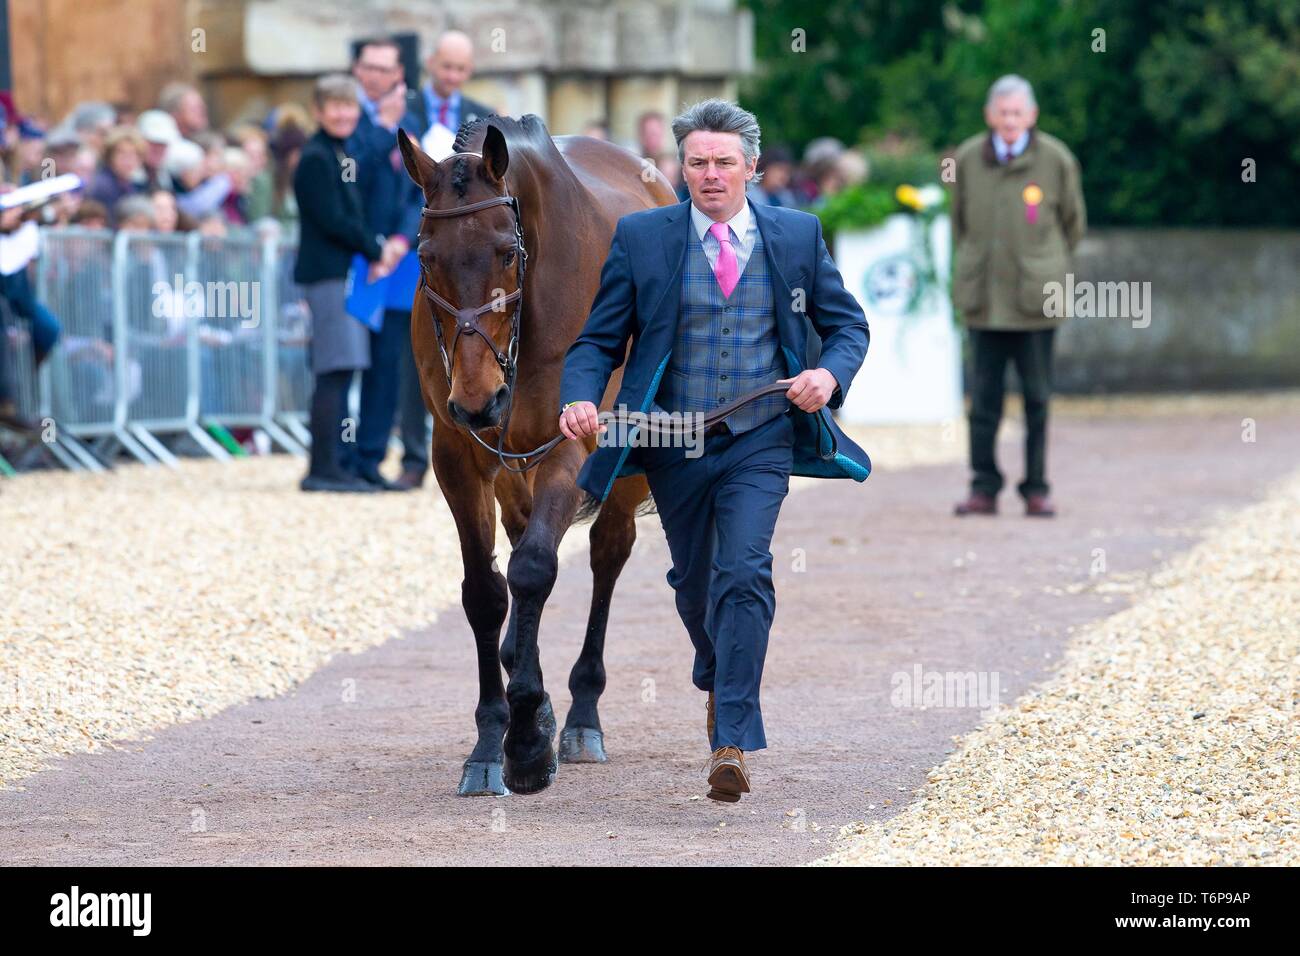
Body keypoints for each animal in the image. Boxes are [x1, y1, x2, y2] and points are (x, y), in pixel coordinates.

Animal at [397, 115, 677, 795]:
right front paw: (491, 738)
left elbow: (532, 570)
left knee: (607, 552)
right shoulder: (458, 454)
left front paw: (525, 741)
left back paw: (579, 714)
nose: (478, 400)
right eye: (426, 258)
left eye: (506, 251)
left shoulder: (574, 441)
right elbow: (485, 591)